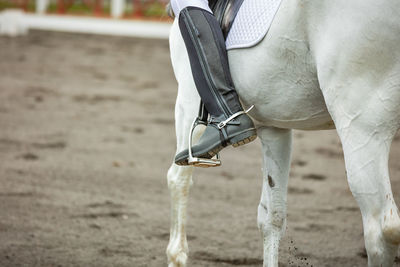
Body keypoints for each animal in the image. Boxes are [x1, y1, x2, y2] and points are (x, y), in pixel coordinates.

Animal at [167, 0, 400, 266]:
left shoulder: (188, 99)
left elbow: (178, 179)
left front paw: (176, 255)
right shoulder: (274, 127)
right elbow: (272, 217)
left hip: (362, 122)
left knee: (380, 232)